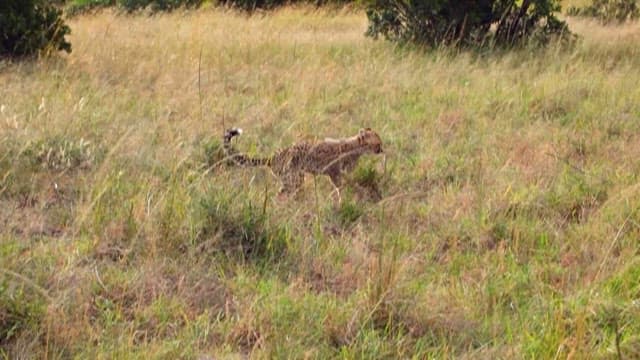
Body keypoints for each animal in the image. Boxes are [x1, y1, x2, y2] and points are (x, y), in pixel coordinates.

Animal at [224, 127, 384, 200]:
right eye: (377, 143)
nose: (382, 150)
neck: (355, 146)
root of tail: (275, 155)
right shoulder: (334, 172)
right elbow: (342, 185)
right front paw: (346, 196)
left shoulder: (336, 173)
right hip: (294, 178)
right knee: (284, 194)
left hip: (289, 180)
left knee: (281, 193)